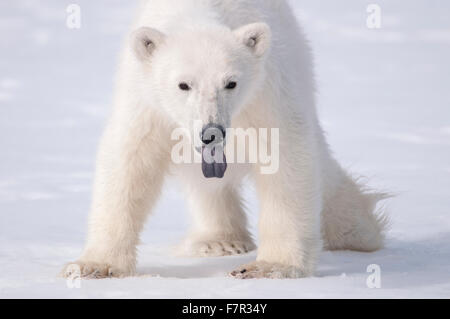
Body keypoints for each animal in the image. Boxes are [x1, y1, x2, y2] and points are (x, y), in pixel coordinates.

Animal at [62, 0, 386, 280]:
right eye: (183, 84)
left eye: (231, 82)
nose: (212, 131)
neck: (198, 15)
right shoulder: (147, 102)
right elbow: (129, 161)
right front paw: (92, 266)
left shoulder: (262, 95)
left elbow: (285, 158)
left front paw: (270, 266)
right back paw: (219, 241)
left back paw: (358, 231)